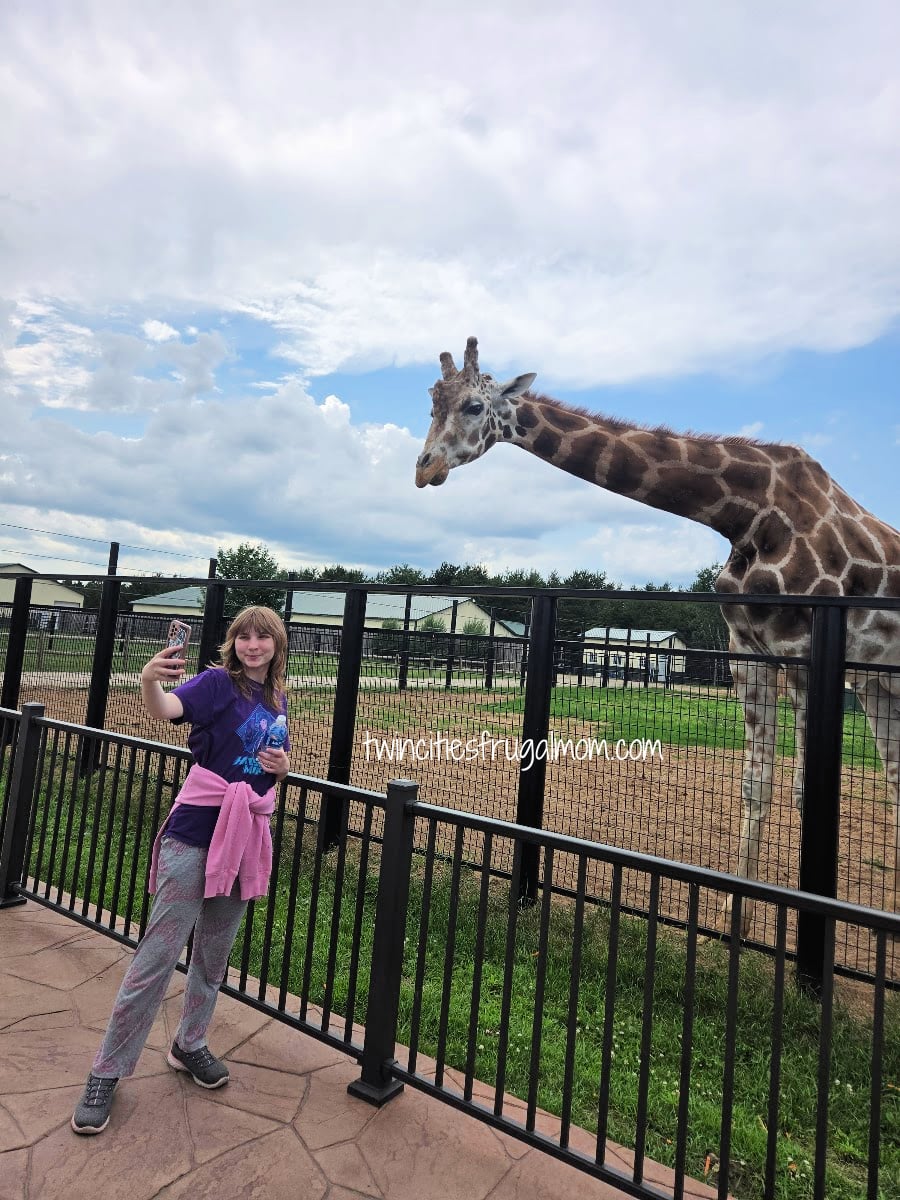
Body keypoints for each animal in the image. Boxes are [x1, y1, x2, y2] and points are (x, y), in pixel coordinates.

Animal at [415, 337, 900, 931]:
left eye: (473, 406)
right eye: (431, 402)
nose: (424, 468)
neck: (747, 513)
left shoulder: (804, 652)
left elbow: (805, 793)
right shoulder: (748, 653)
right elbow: (755, 785)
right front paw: (737, 916)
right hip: (878, 683)